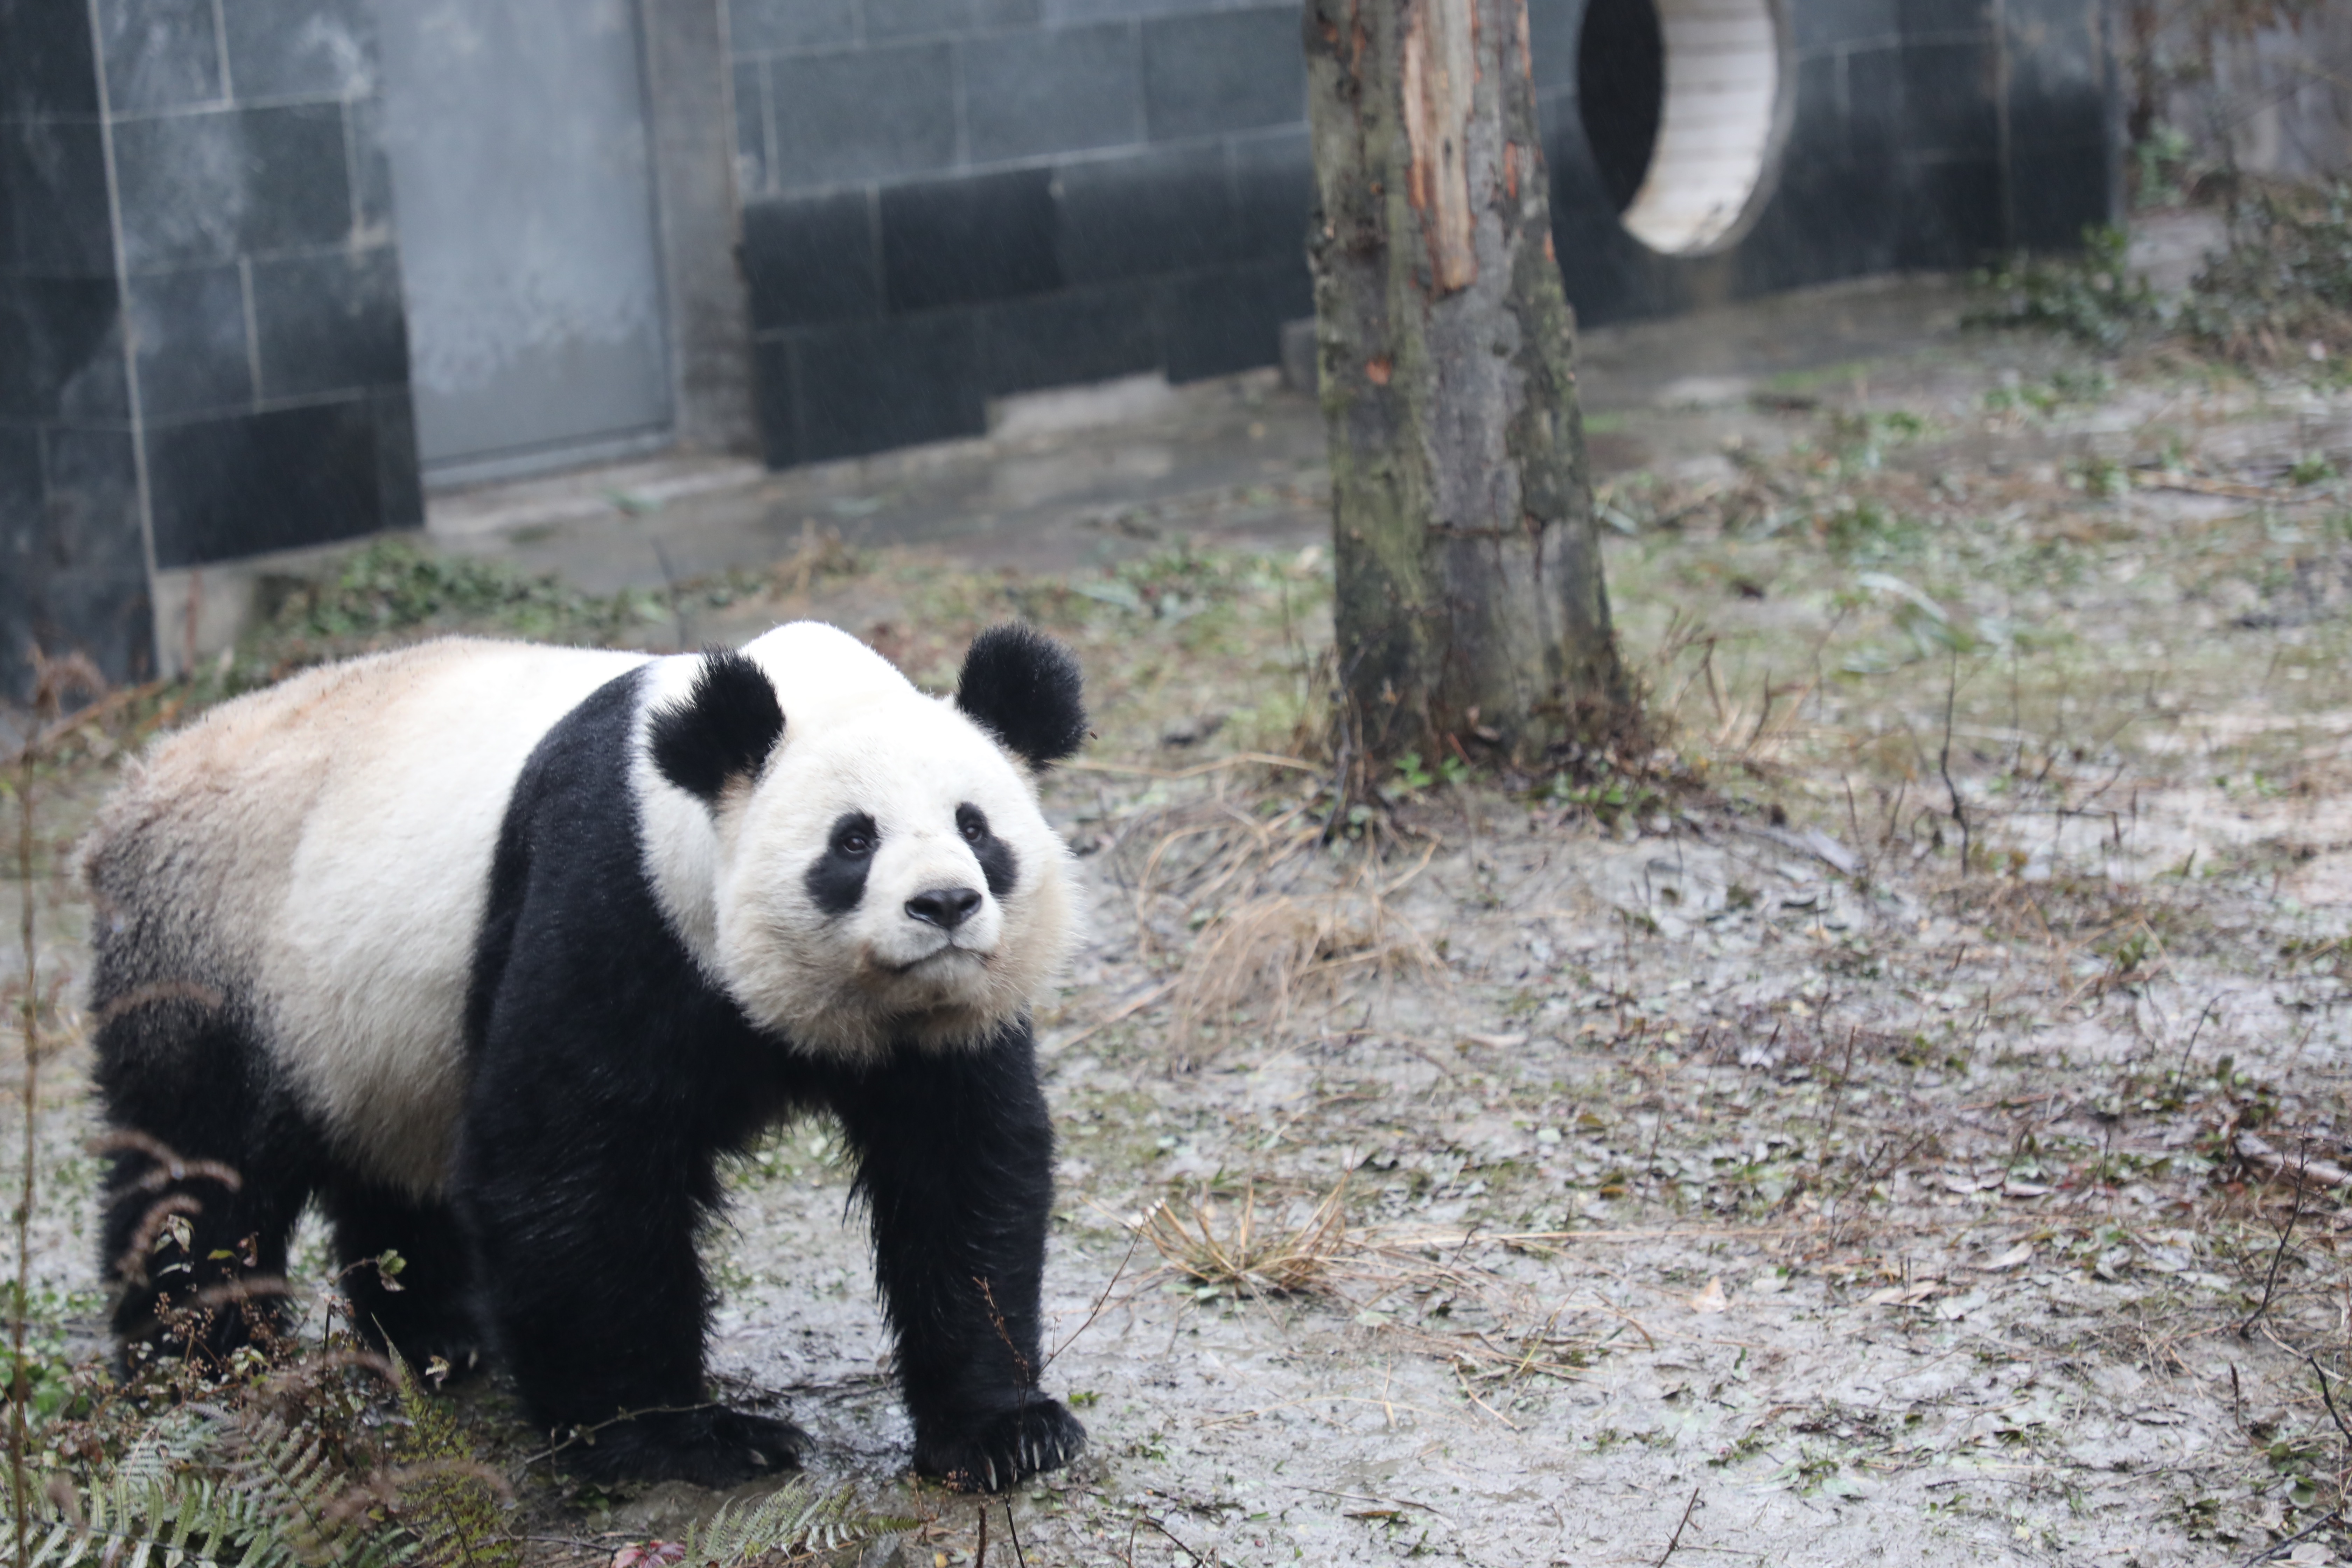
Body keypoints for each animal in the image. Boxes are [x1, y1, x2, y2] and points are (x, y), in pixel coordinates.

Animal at [80, 621, 1091, 1495]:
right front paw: (681, 1437)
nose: (946, 905)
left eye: (977, 828)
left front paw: (1002, 1431)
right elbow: (568, 1164)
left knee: (391, 1171)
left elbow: (963, 1168)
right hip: (215, 955)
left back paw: (437, 1341)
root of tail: (138, 780)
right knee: (200, 1176)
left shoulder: (944, 1025)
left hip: (370, 1032)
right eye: (854, 840)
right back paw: (193, 1366)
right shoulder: (613, 896)